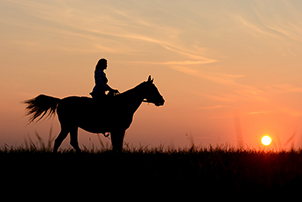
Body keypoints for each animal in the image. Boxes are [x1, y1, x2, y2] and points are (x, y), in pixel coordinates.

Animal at [24, 75, 165, 152]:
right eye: (153, 89)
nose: (162, 100)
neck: (124, 103)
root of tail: (60, 101)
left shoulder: (118, 130)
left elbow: (117, 146)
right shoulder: (117, 129)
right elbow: (116, 146)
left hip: (73, 126)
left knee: (73, 142)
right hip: (67, 126)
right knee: (59, 141)